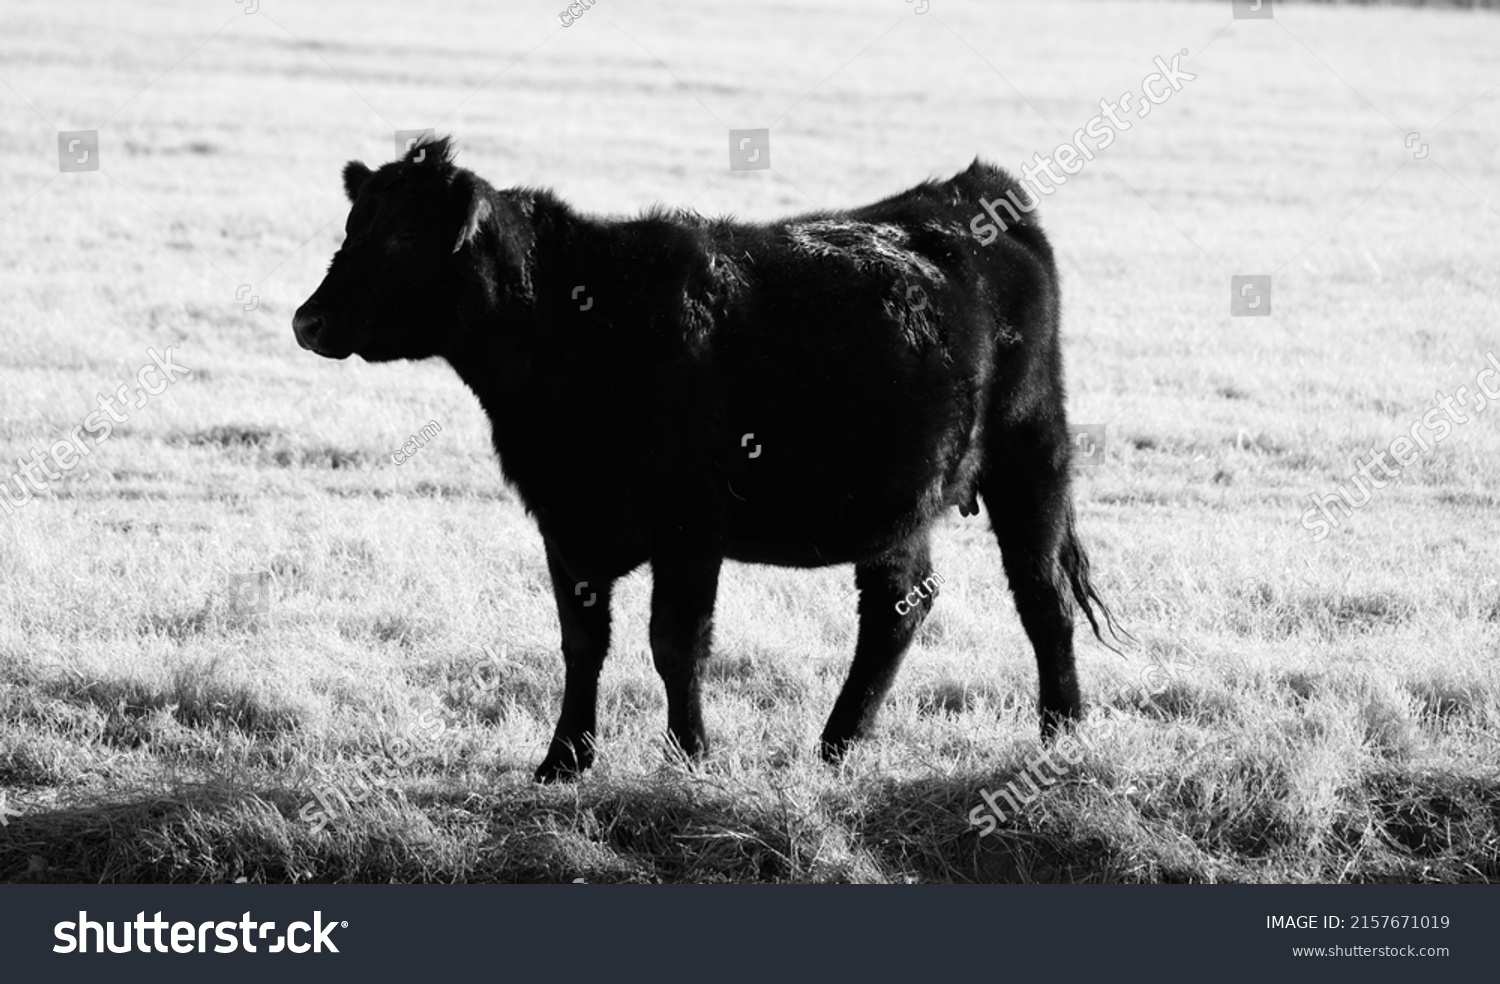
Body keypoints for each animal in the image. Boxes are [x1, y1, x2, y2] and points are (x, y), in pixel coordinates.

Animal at [295, 136, 1116, 786]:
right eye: (353, 224)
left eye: (402, 238)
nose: (308, 321)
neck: (578, 325)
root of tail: (967, 193)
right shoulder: (565, 524)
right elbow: (581, 644)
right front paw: (563, 761)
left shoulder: (689, 528)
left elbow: (676, 644)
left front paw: (688, 757)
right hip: (899, 503)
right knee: (898, 609)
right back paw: (837, 746)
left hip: (1032, 452)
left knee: (1042, 597)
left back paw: (1060, 733)